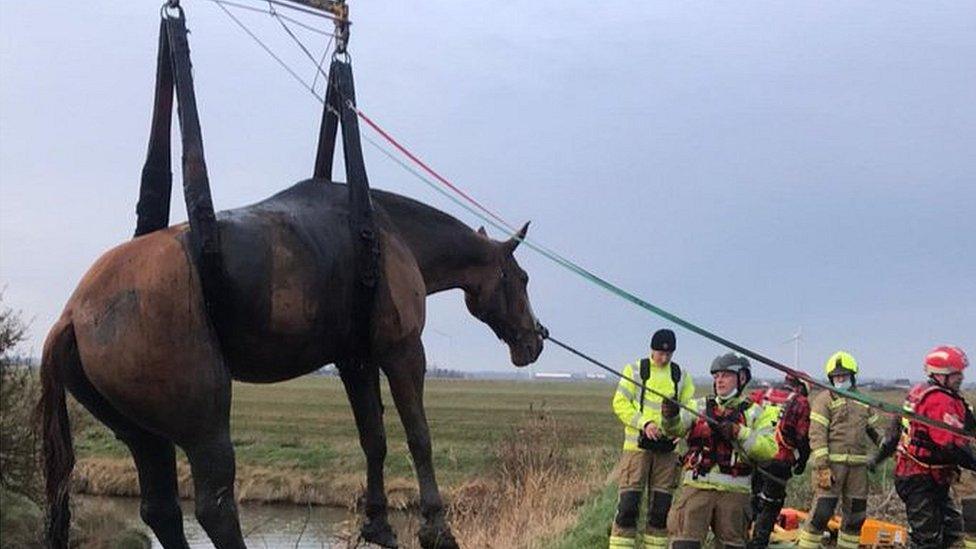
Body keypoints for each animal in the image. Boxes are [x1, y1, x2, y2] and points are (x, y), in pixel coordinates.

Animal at [36, 178, 540, 544]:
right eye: (522, 278)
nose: (535, 341)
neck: (386, 233)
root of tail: (73, 315)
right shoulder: (402, 351)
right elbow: (419, 436)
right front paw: (435, 526)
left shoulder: (355, 361)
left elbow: (373, 439)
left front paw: (377, 523)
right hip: (205, 427)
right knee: (214, 507)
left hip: (143, 435)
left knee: (160, 509)